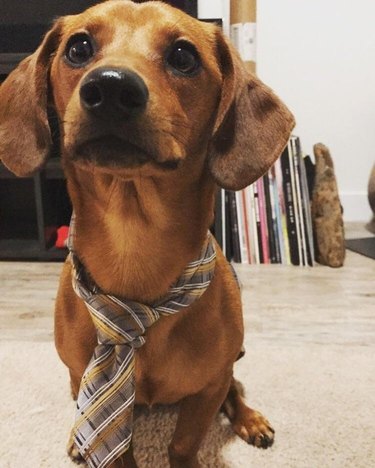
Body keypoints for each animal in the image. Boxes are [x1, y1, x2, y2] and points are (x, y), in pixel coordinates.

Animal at [0, 1, 294, 466]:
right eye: (78, 48)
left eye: (183, 56)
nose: (110, 88)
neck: (134, 252)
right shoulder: (96, 390)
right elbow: (115, 443)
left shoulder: (207, 389)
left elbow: (184, 441)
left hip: (226, 368)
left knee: (234, 388)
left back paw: (250, 418)